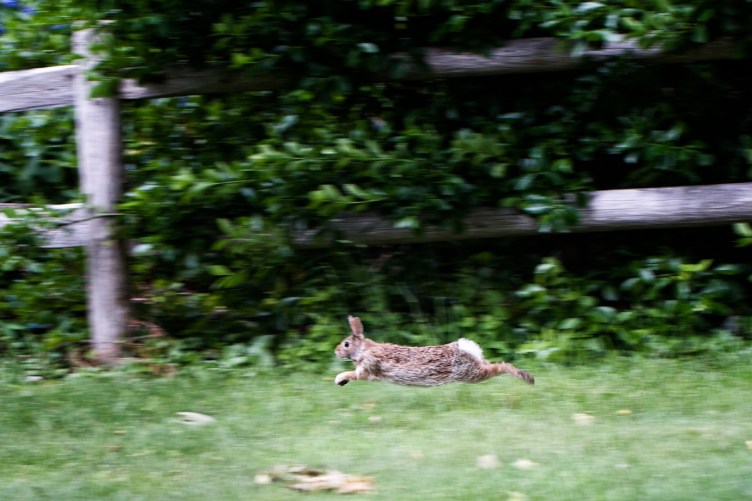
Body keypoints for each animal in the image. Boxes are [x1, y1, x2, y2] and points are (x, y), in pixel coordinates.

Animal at [334, 315, 534, 386]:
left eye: (346, 344)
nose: (336, 352)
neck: (363, 349)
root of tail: (468, 349)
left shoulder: (368, 367)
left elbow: (353, 374)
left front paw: (339, 379)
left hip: (469, 374)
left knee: (498, 367)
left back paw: (527, 378)